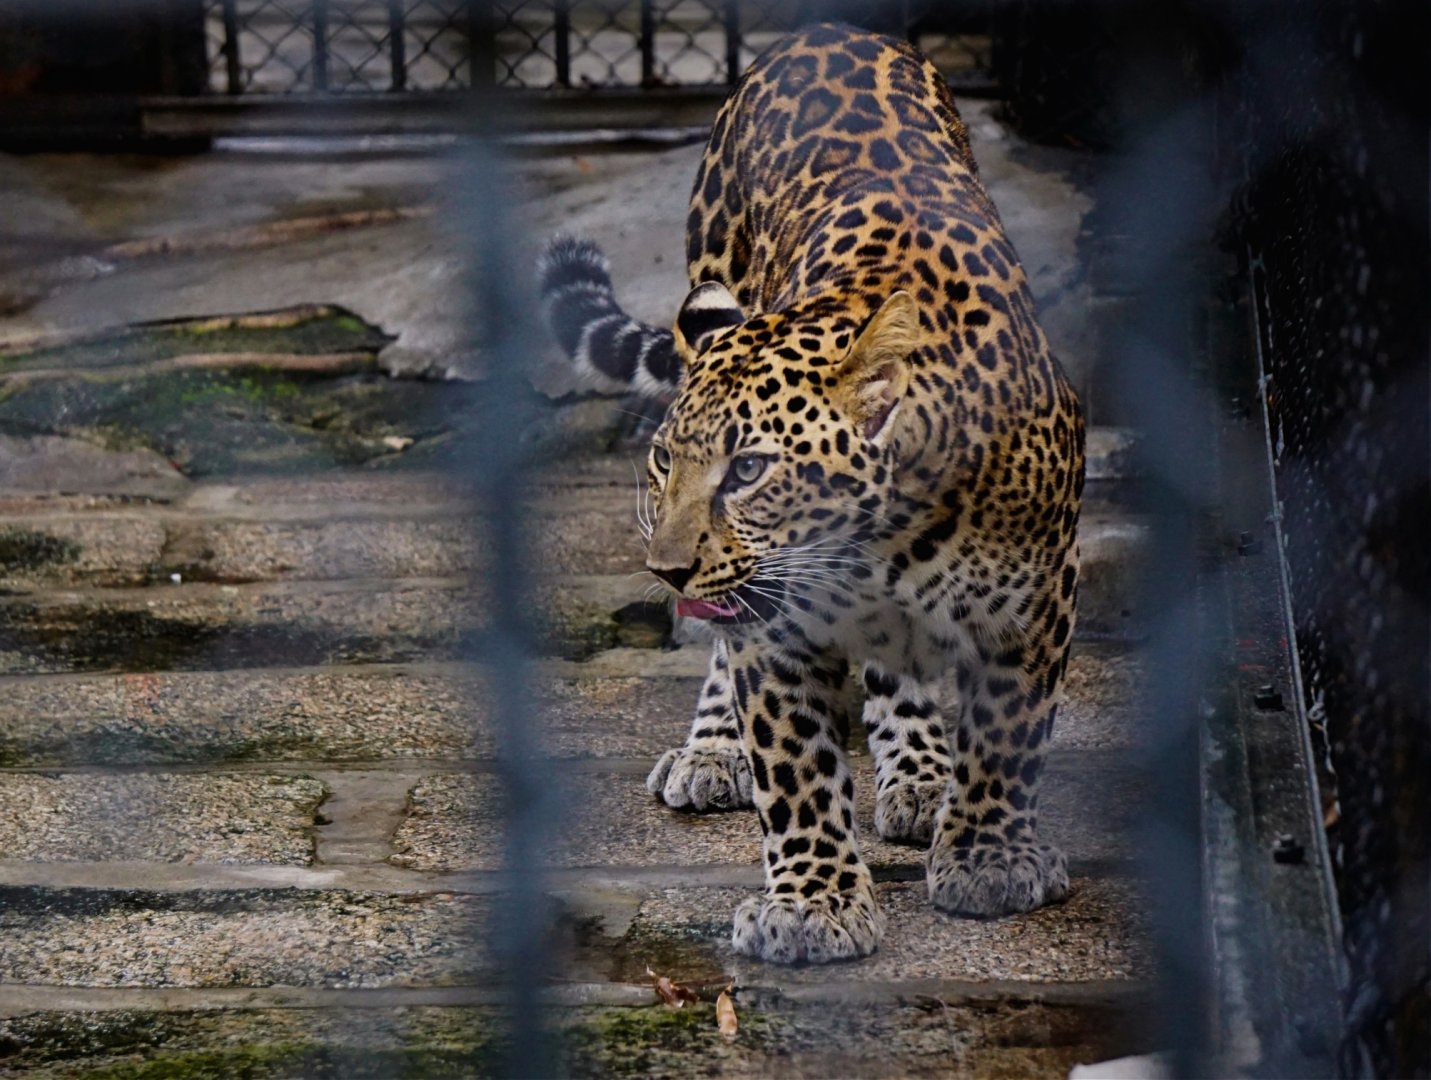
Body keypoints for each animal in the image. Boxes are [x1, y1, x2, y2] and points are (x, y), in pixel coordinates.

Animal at [539, 22, 1085, 964]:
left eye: (748, 469)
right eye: (664, 461)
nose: (666, 571)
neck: (895, 528)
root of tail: (827, 30)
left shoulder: (1039, 596)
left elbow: (1008, 735)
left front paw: (987, 859)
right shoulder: (777, 620)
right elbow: (791, 767)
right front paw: (813, 903)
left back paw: (919, 772)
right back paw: (712, 753)